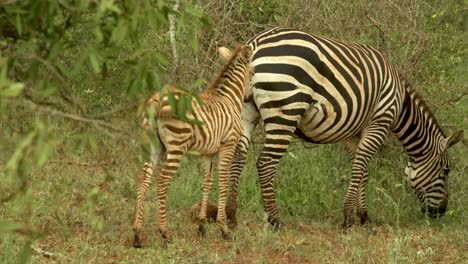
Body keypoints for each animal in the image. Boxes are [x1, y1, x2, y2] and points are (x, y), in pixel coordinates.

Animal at [132, 44, 254, 246]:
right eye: (252, 73)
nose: (250, 97)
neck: (229, 98)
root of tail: (158, 100)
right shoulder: (227, 146)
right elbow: (223, 182)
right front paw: (224, 229)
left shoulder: (209, 152)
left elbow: (207, 183)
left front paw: (202, 226)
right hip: (176, 147)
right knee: (162, 180)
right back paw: (165, 232)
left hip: (154, 146)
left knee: (144, 178)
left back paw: (137, 234)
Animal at [223, 27, 464, 229]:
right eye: (446, 171)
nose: (440, 213)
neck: (401, 102)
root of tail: (255, 44)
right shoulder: (379, 121)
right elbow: (360, 168)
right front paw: (348, 218)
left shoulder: (354, 133)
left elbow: (362, 170)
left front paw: (363, 216)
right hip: (285, 111)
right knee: (265, 163)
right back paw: (275, 220)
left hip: (246, 111)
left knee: (238, 156)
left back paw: (231, 216)